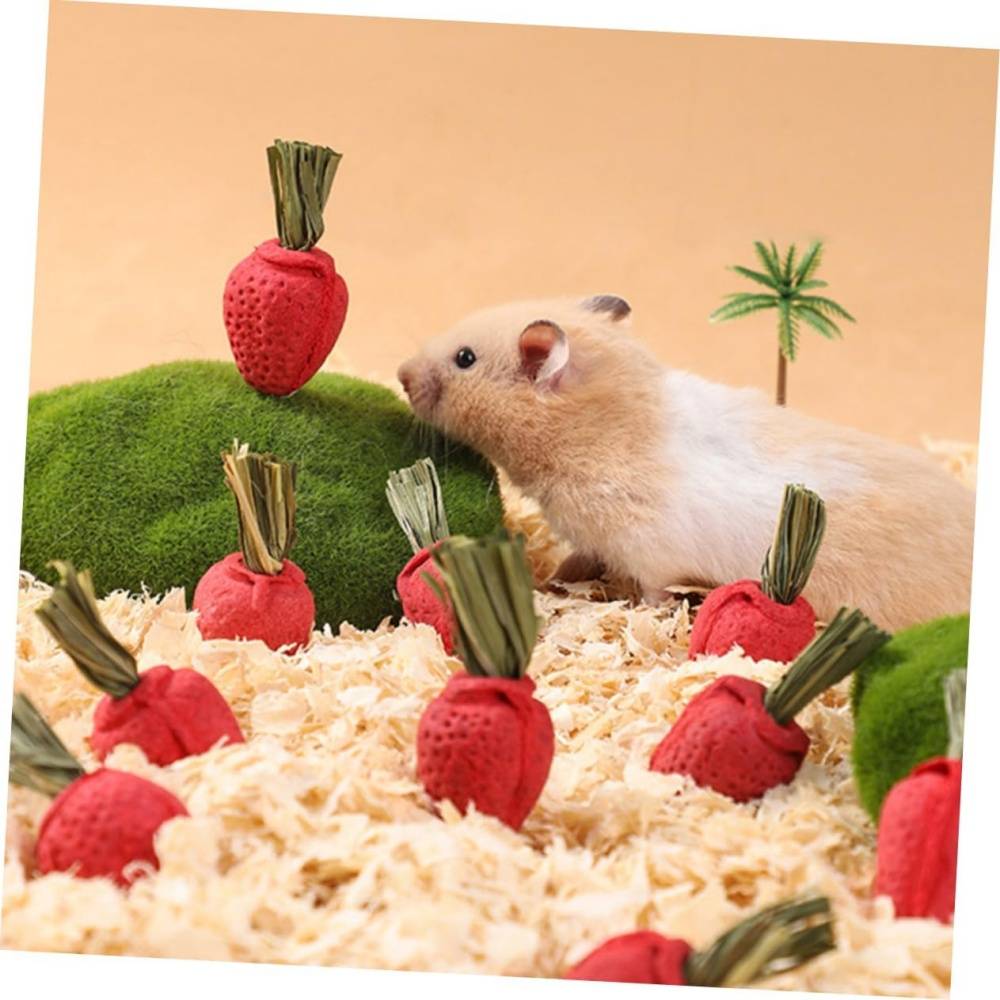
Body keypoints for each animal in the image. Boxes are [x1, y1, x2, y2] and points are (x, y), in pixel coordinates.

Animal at [397, 295, 976, 631]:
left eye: (465, 359)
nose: (401, 373)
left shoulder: (650, 549)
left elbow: (654, 589)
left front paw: (641, 612)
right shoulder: (593, 537)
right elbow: (582, 556)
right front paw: (558, 579)